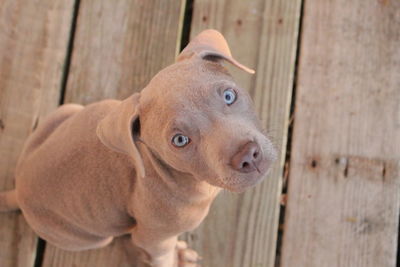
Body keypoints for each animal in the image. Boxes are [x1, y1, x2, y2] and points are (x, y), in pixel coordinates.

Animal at [0, 29, 276, 267]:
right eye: (179, 140)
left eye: (229, 96)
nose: (248, 156)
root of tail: (19, 189)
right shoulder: (155, 240)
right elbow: (161, 257)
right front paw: (173, 258)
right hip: (91, 237)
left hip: (69, 111)